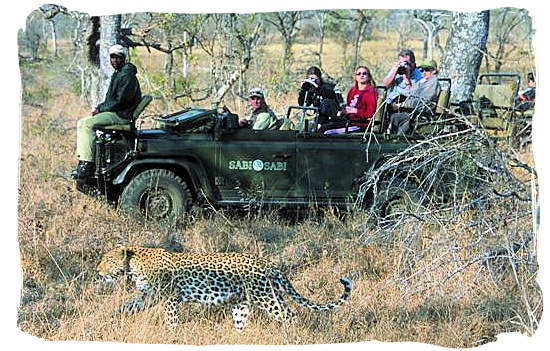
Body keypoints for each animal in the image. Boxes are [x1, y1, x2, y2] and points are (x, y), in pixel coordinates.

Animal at [97, 245, 354, 332]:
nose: (98, 272)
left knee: (290, 316)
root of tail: (268, 263)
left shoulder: (170, 297)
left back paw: (291, 338)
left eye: (107, 260)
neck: (134, 266)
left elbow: (171, 320)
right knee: (243, 323)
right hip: (244, 303)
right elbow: (128, 305)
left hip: (266, 297)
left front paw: (171, 335)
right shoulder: (147, 295)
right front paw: (110, 318)